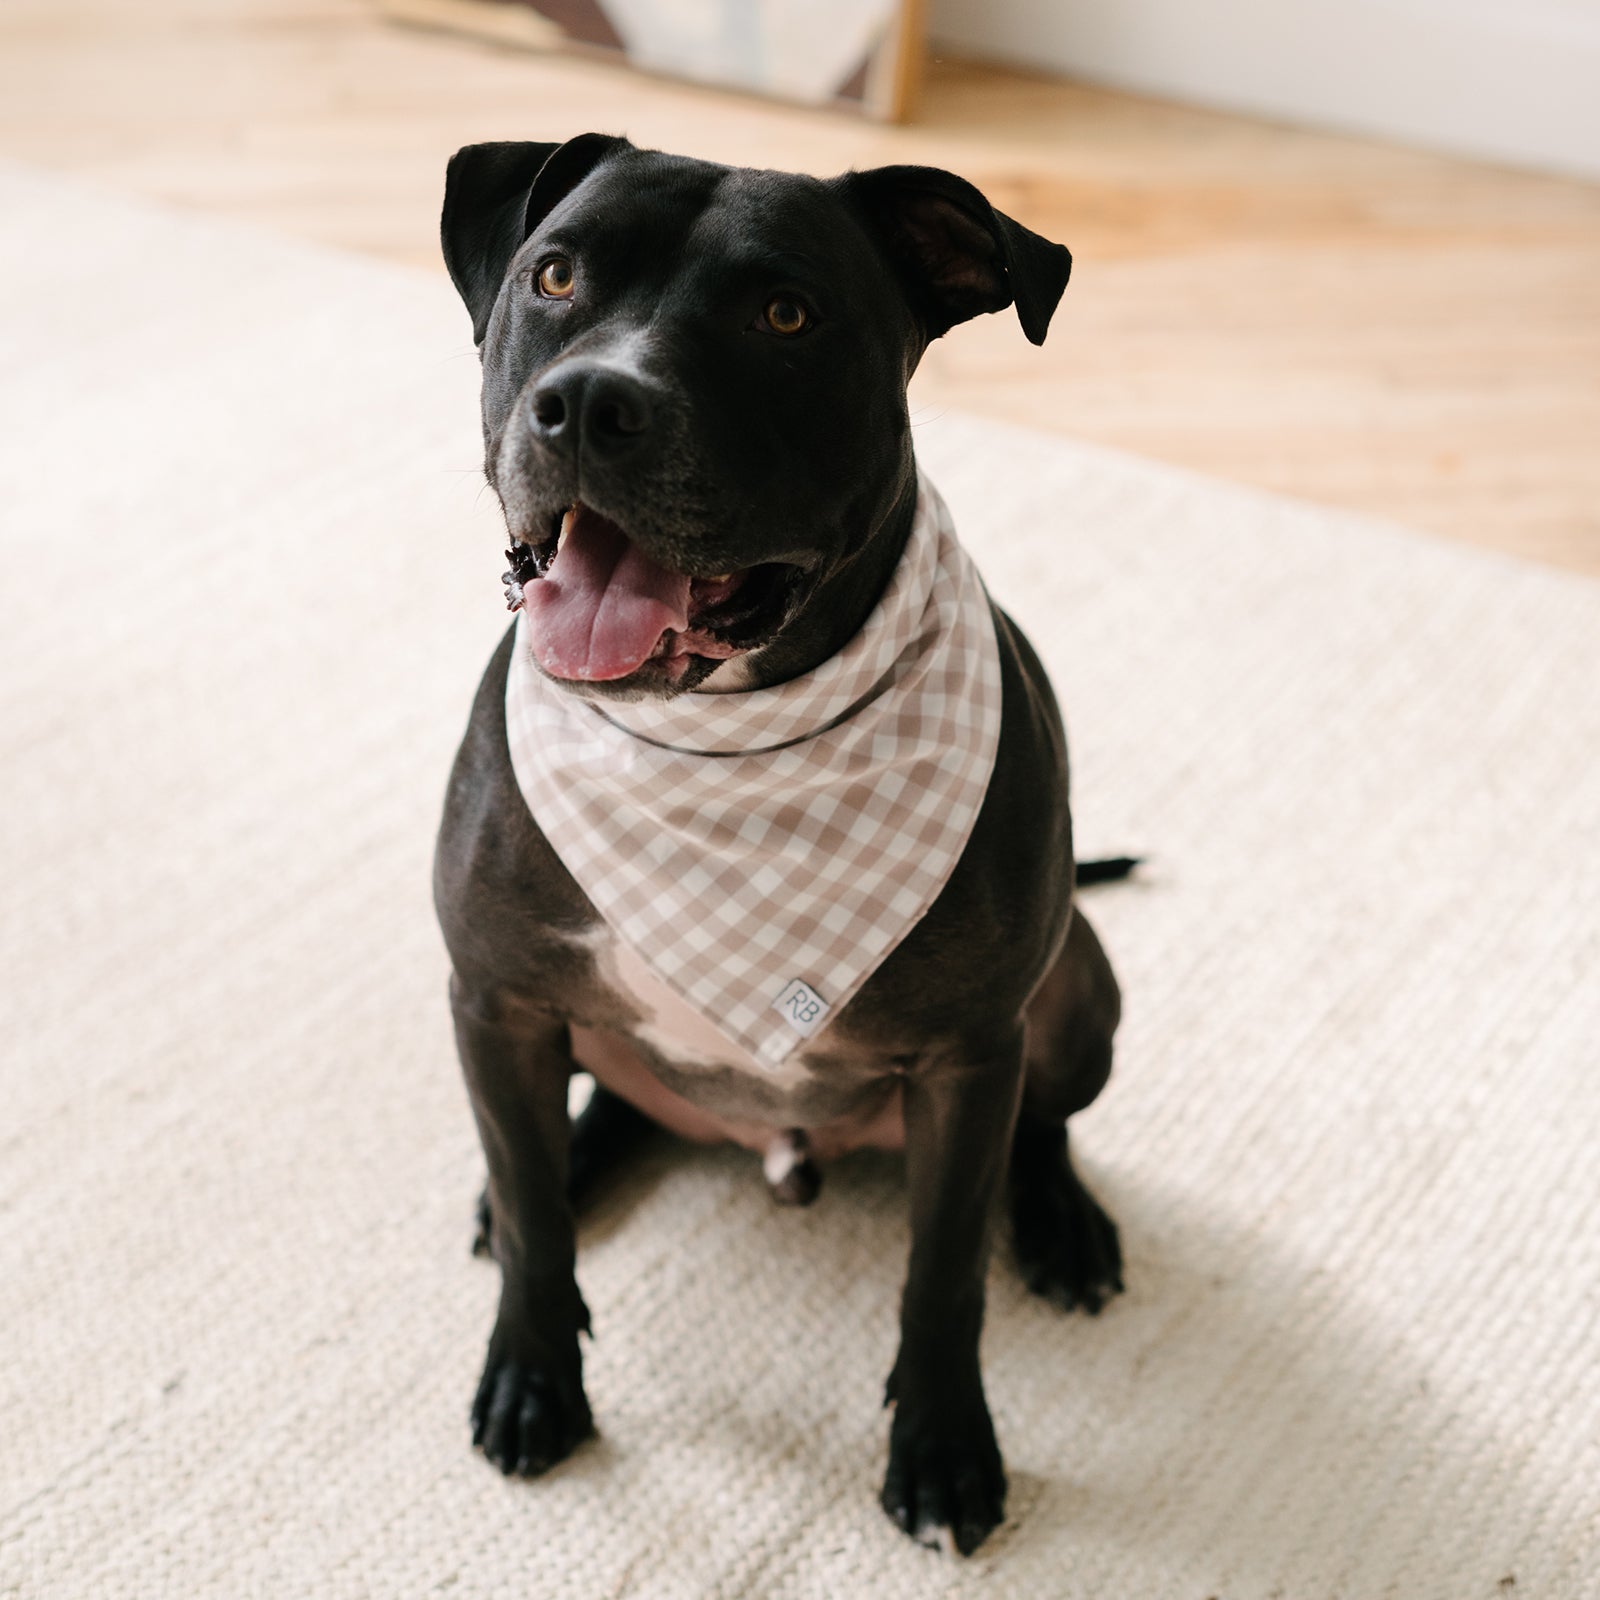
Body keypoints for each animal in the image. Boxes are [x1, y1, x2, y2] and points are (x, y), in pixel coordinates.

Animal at [432, 131, 1120, 1555]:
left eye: (787, 316)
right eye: (554, 276)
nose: (588, 403)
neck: (711, 742)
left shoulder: (970, 1058)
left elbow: (943, 1275)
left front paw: (945, 1449)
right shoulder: (493, 998)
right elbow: (531, 1227)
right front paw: (533, 1376)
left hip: (1076, 987)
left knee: (1046, 1122)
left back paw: (1063, 1225)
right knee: (587, 1119)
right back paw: (568, 1160)